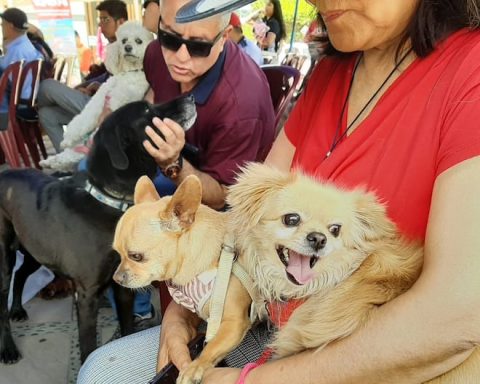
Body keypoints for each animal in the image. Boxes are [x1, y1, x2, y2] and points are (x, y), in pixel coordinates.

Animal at [0, 95, 197, 364]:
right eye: (147, 110)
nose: (191, 97)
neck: (109, 200)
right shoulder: (87, 295)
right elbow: (88, 346)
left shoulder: (124, 287)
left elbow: (127, 327)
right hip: (4, 259)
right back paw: (8, 348)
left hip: (34, 249)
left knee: (21, 274)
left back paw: (18, 309)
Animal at [41, 21, 155, 171]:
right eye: (124, 41)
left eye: (139, 41)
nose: (127, 48)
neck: (129, 72)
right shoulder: (101, 97)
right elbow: (86, 116)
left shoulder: (126, 96)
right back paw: (53, 157)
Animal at [112, 176, 251, 384]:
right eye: (117, 253)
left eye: (136, 256)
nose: (116, 278)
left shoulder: (235, 323)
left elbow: (212, 347)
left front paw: (194, 367)